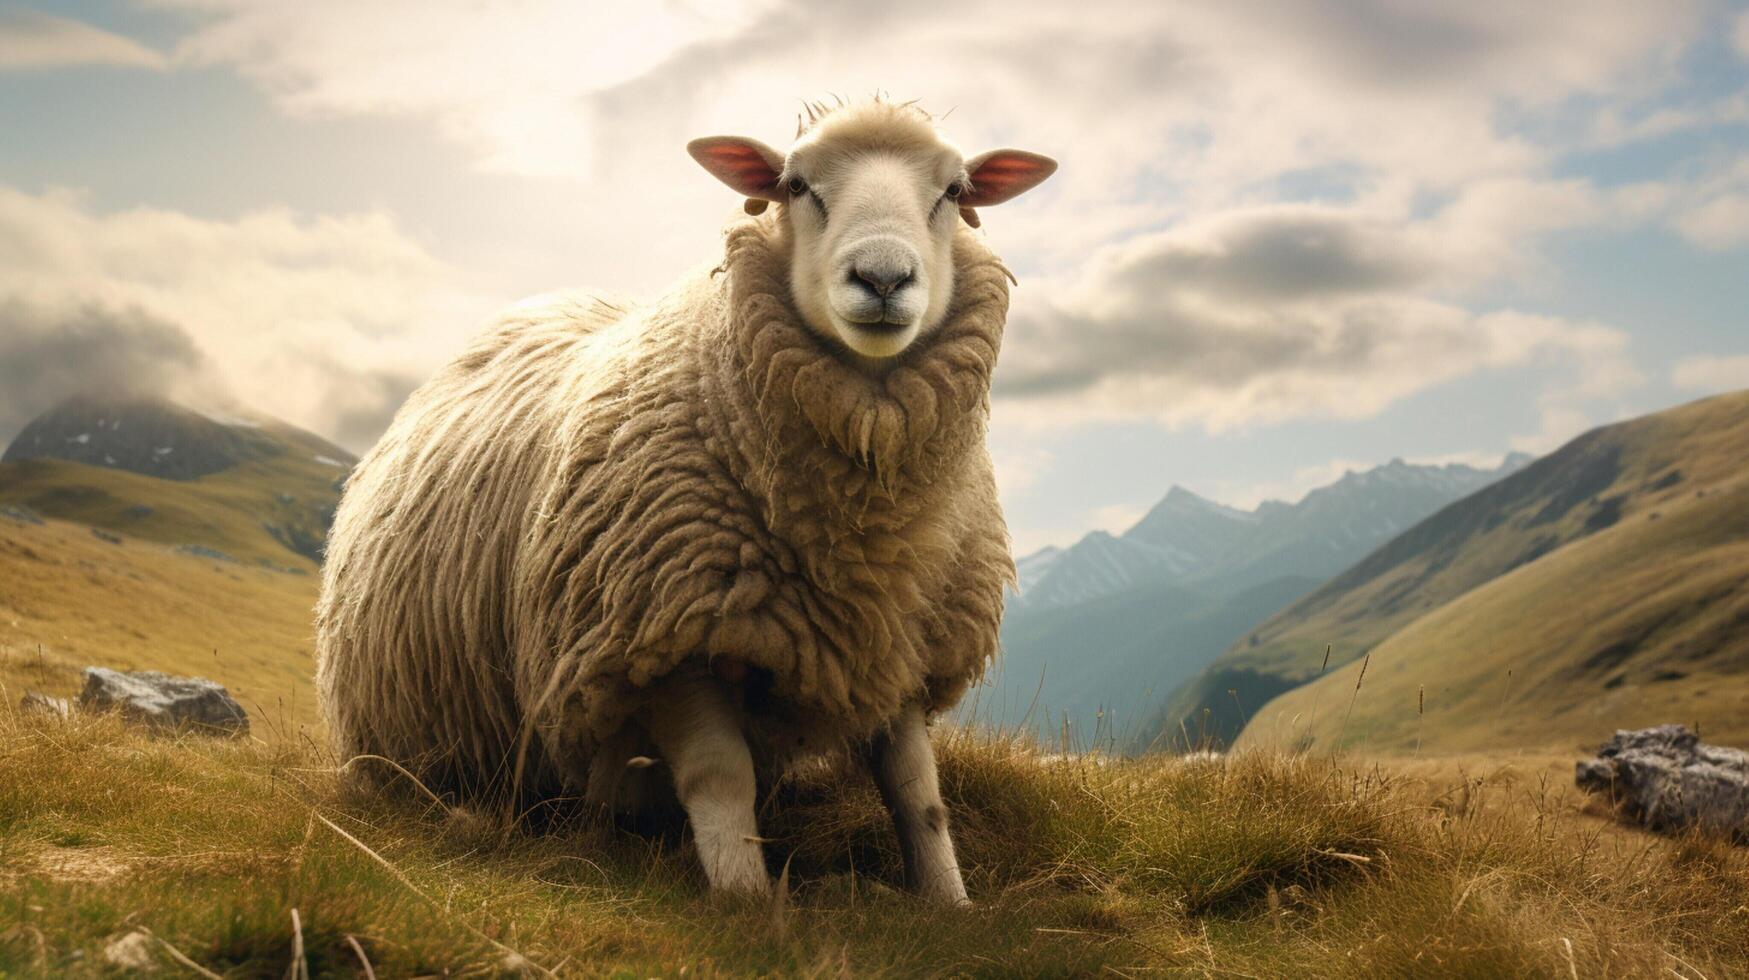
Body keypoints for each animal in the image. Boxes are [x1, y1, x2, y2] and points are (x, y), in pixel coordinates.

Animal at [313, 101, 1049, 903]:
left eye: (955, 190)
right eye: (795, 185)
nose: (882, 277)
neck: (865, 536)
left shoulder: (905, 637)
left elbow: (917, 790)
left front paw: (949, 902)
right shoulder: (660, 631)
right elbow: (720, 776)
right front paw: (746, 900)